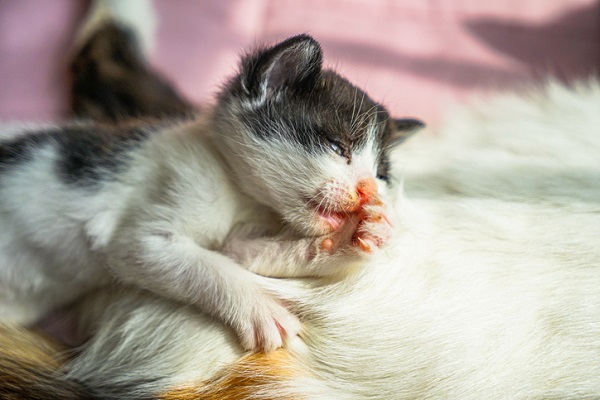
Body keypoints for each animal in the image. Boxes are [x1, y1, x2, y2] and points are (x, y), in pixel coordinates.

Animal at [0, 35, 422, 354]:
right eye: (337, 147)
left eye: (381, 174)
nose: (368, 190)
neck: (238, 189)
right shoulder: (142, 230)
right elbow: (204, 265)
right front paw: (258, 307)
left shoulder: (237, 237)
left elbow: (240, 255)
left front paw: (346, 239)